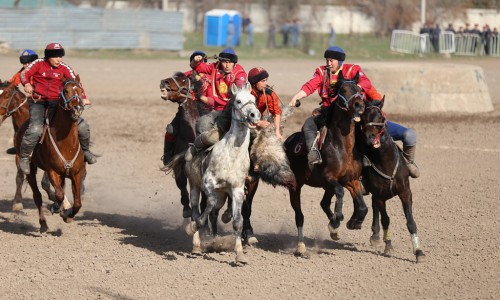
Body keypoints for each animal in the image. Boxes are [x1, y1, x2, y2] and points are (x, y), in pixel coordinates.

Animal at [14, 75, 87, 232]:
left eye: (80, 90)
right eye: (65, 90)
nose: (77, 108)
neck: (67, 144)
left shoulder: (76, 173)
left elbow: (77, 202)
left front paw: (68, 215)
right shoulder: (52, 171)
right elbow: (59, 194)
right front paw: (60, 210)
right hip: (31, 169)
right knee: (37, 196)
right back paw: (43, 223)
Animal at [185, 83, 262, 264]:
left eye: (254, 99)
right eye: (238, 100)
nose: (254, 115)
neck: (231, 155)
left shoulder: (238, 190)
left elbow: (237, 222)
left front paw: (239, 254)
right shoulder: (208, 183)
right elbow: (207, 207)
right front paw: (194, 227)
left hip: (221, 194)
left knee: (212, 211)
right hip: (194, 186)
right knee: (195, 211)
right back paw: (196, 244)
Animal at [286, 71, 368, 255]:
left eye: (359, 89)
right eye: (343, 90)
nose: (359, 105)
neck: (342, 146)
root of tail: (288, 141)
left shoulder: (351, 180)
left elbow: (362, 207)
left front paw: (351, 223)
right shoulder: (329, 178)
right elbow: (340, 193)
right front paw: (337, 221)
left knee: (323, 203)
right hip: (295, 186)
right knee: (299, 215)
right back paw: (301, 246)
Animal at [356, 98, 426, 262]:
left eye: (380, 116)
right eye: (363, 118)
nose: (370, 137)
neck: (386, 163)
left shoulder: (405, 192)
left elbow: (410, 222)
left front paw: (419, 252)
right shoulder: (380, 196)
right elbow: (386, 219)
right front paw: (388, 245)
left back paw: (375, 236)